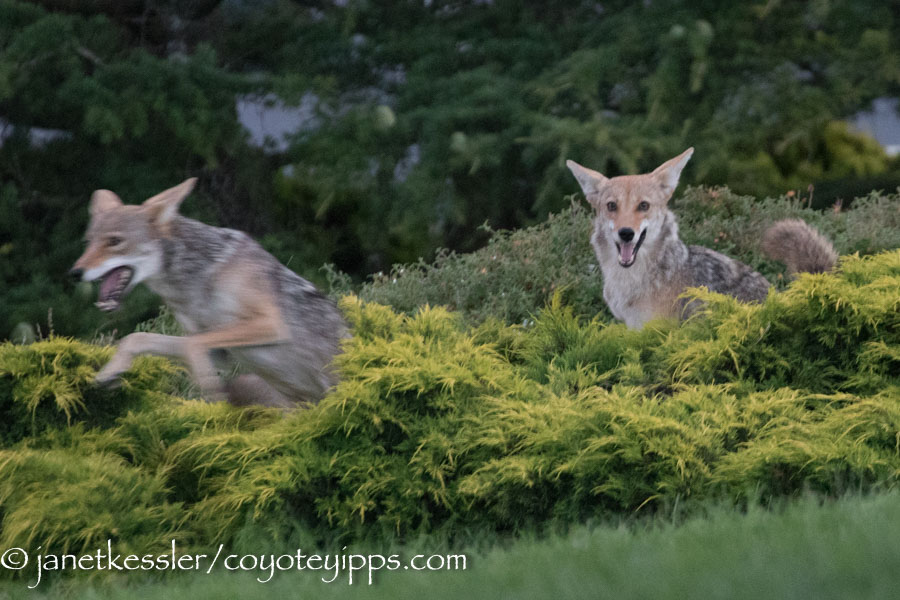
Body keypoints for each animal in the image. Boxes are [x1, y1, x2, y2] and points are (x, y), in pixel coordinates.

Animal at [69, 178, 347, 408]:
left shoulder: (271, 324)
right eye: (88, 242)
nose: (75, 272)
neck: (200, 280)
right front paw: (107, 374)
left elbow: (193, 345)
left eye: (115, 241)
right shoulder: (220, 352)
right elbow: (137, 338)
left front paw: (209, 386)